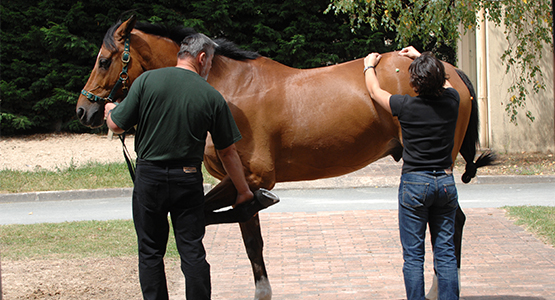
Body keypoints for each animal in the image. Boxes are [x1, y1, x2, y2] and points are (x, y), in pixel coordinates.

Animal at [76, 15, 494, 298]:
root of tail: (449, 70)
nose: (85, 110)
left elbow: (219, 221)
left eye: (103, 59)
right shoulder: (240, 183)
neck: (228, 88)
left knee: (451, 221)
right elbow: (249, 239)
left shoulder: (251, 178)